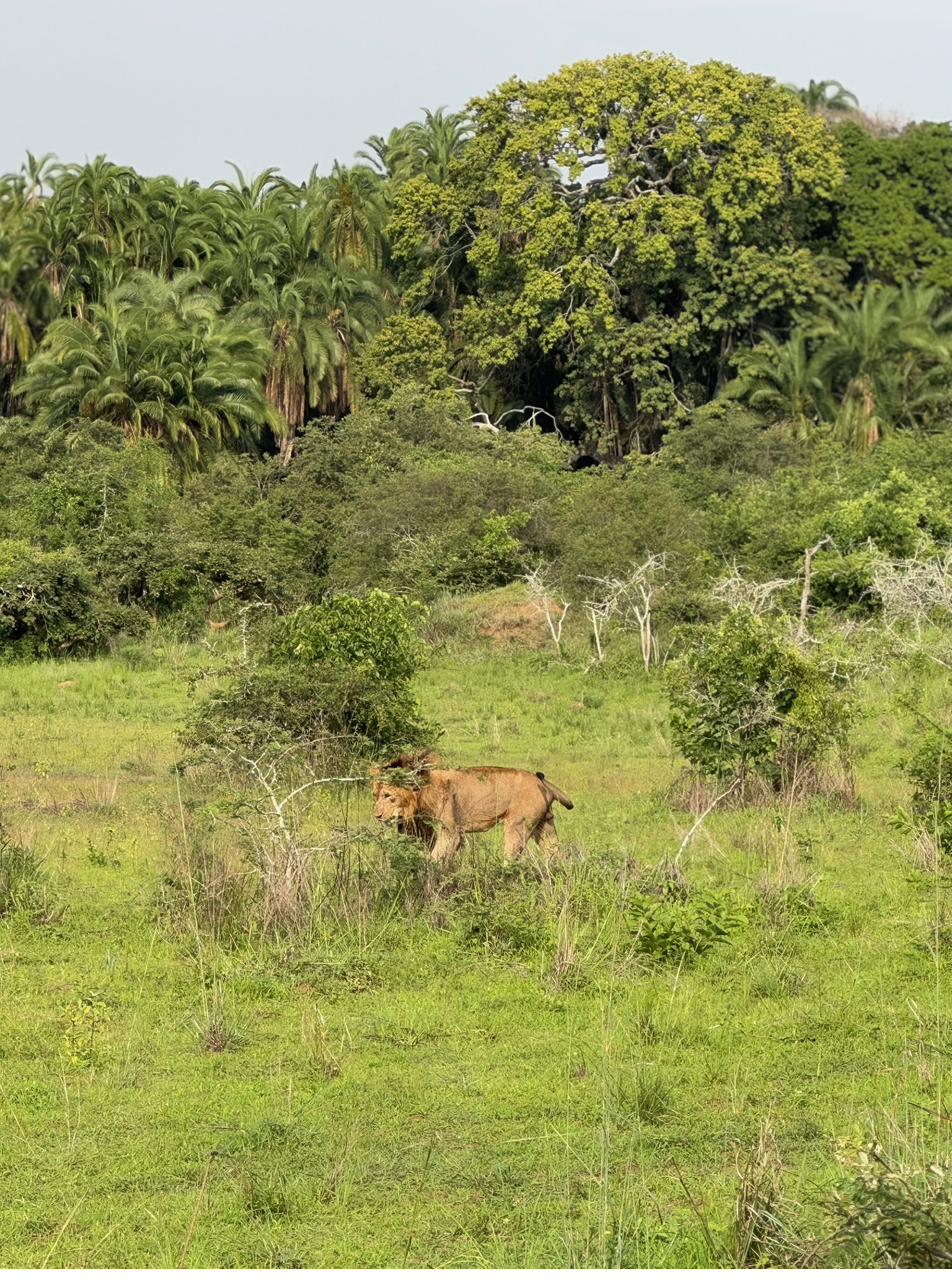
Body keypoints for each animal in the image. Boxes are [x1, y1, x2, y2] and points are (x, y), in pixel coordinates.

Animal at [372, 751, 574, 860]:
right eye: (376, 796)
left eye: (387, 795)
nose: (377, 816)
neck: (424, 790)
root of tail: (540, 781)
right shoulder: (457, 834)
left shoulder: (450, 831)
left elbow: (434, 858)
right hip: (545, 826)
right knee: (558, 855)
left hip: (518, 825)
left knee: (512, 858)